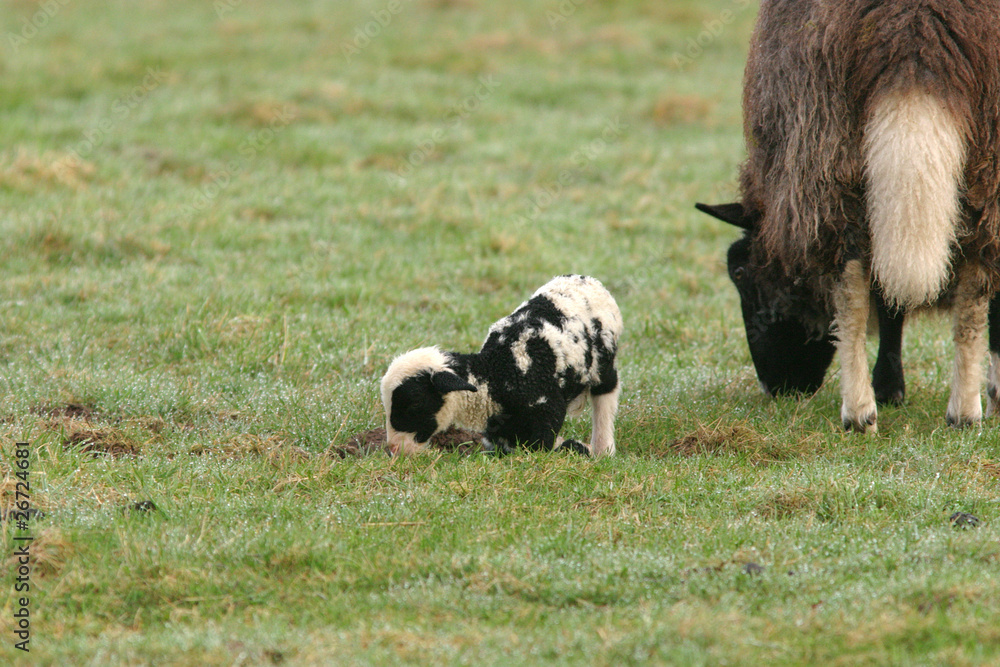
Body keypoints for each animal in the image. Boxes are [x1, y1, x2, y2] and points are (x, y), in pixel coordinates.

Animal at [380, 274, 622, 456]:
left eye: (414, 403)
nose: (394, 449)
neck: (496, 376)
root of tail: (584, 279)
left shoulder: (547, 414)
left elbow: (542, 447)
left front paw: (578, 448)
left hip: (603, 364)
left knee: (606, 396)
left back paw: (603, 450)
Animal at [699, 0, 1000, 432]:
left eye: (740, 272)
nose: (778, 387)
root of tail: (916, 30)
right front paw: (892, 388)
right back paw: (939, 412)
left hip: (823, 148)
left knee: (856, 287)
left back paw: (873, 411)